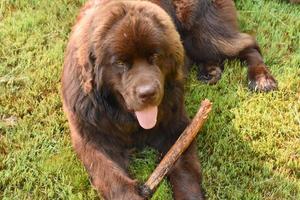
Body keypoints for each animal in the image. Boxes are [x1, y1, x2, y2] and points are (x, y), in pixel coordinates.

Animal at [61, 0, 205, 200]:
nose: (147, 93)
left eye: (155, 56)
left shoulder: (177, 126)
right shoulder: (92, 137)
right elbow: (112, 178)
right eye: (120, 63)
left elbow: (185, 167)